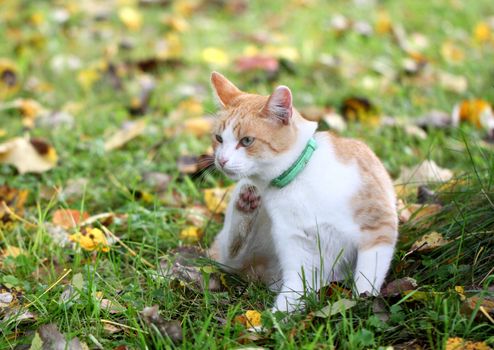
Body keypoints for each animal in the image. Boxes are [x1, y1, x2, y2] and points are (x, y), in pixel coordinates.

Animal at [207, 71, 398, 312]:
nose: (221, 160)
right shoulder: (299, 249)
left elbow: (367, 276)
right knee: (232, 255)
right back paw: (245, 204)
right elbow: (294, 291)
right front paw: (272, 321)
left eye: (247, 141)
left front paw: (362, 303)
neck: (298, 180)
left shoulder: (378, 226)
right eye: (219, 139)